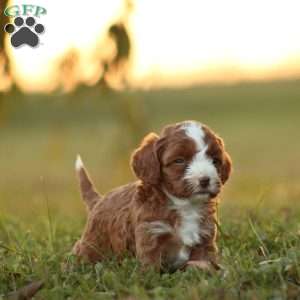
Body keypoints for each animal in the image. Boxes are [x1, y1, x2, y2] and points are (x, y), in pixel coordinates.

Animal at [72, 120, 232, 272]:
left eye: (215, 160)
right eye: (179, 160)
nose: (205, 180)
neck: (184, 204)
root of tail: (99, 200)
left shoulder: (205, 238)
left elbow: (204, 262)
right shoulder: (151, 234)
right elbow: (151, 268)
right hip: (92, 244)